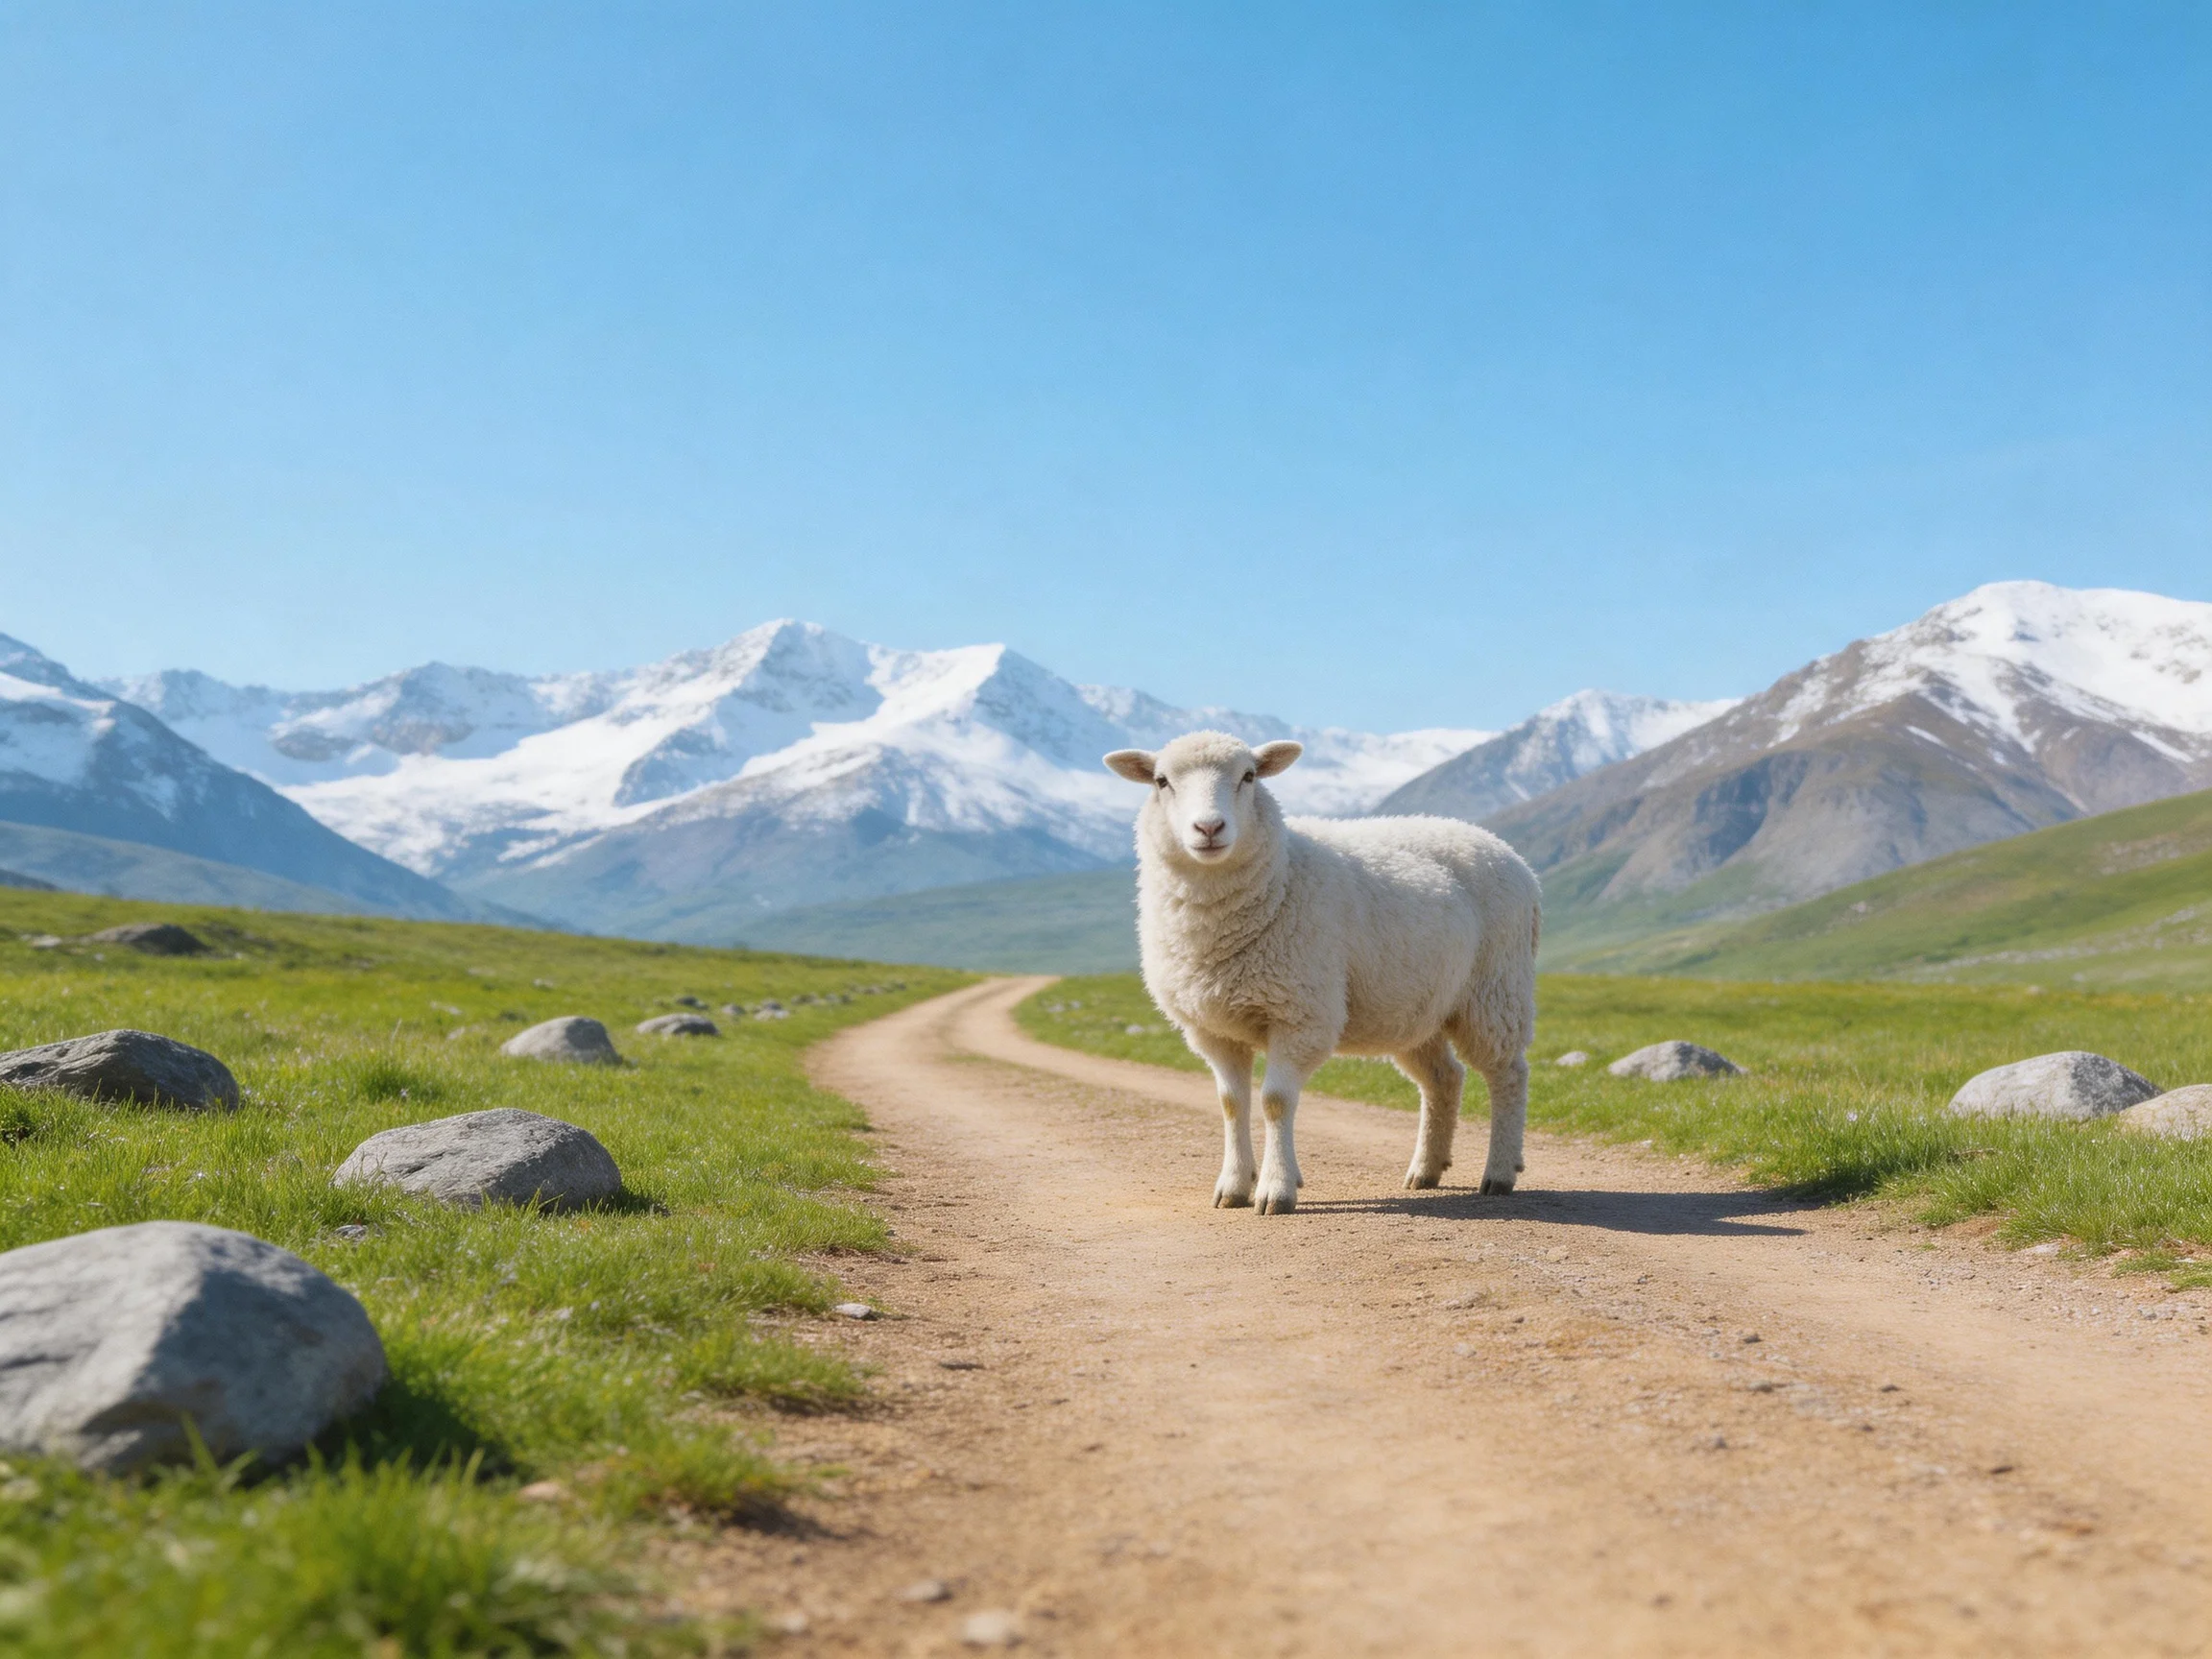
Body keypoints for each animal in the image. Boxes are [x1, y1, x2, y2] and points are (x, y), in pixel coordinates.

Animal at [1104, 730, 1541, 1215]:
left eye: (1249, 776)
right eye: (1161, 781)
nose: (1209, 829)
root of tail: (1509, 853)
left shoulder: (1300, 1014)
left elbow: (1275, 1102)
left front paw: (1276, 1189)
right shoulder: (1214, 1029)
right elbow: (1231, 1103)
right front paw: (1233, 1186)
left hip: (1495, 990)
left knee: (1508, 1075)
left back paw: (1499, 1172)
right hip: (1414, 1008)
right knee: (1444, 1078)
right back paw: (1426, 1169)